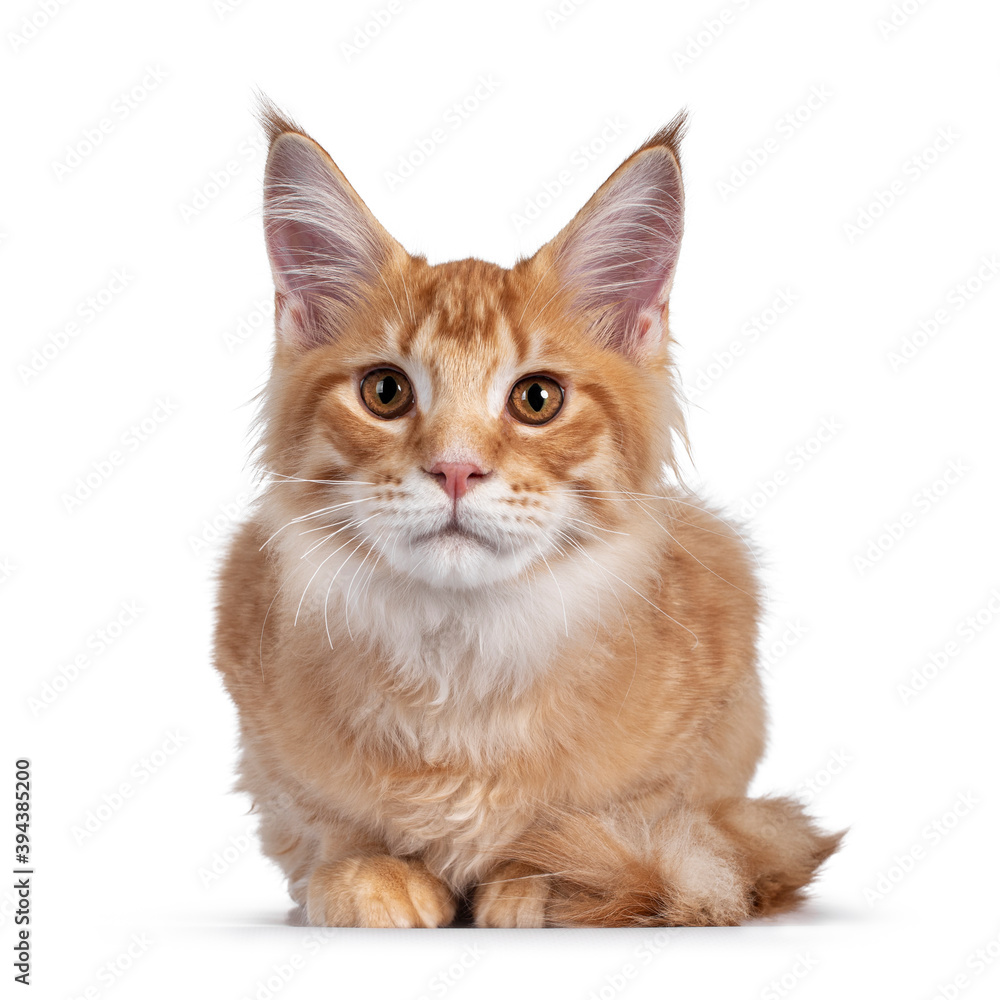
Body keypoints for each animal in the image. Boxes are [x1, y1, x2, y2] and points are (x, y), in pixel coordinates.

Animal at [213, 101, 844, 928]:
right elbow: (323, 823)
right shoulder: (262, 719)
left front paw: (542, 877)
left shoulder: (711, 699)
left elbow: (627, 819)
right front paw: (367, 872)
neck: (459, 661)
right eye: (386, 392)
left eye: (536, 399)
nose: (455, 468)